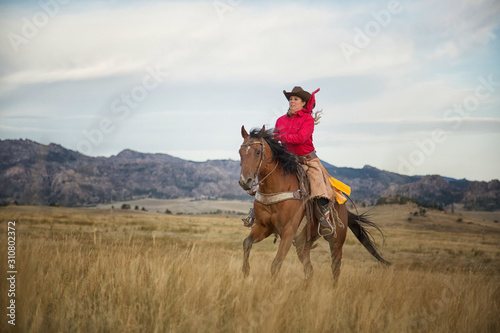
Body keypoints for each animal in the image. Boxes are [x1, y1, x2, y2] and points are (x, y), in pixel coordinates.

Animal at [238, 124, 390, 280]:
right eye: (240, 152)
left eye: (257, 152)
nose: (245, 181)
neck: (276, 188)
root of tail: (343, 208)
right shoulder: (263, 227)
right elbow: (246, 243)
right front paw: (245, 271)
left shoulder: (288, 232)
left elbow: (276, 264)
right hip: (302, 244)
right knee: (309, 270)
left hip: (336, 242)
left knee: (335, 269)